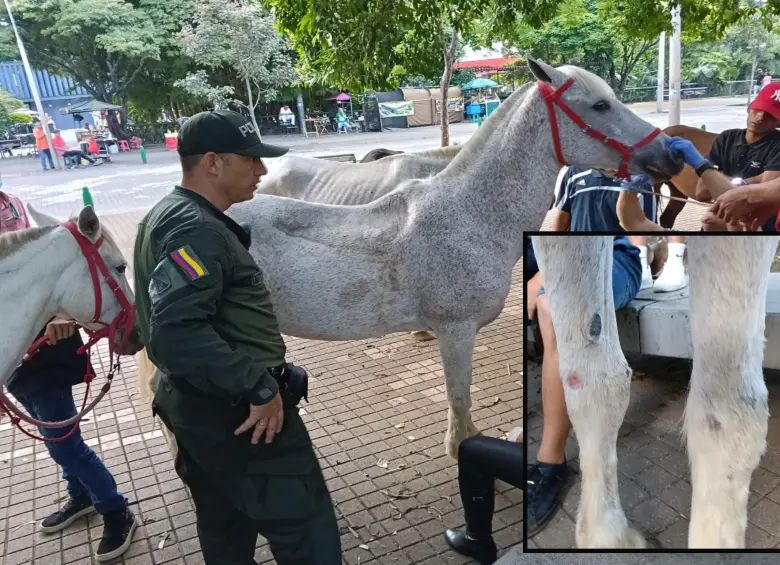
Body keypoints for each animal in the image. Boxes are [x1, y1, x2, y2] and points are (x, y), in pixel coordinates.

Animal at [139, 57, 684, 456]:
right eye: (599, 105)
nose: (671, 154)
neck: (471, 213)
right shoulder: (455, 330)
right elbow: (460, 402)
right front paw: (463, 450)